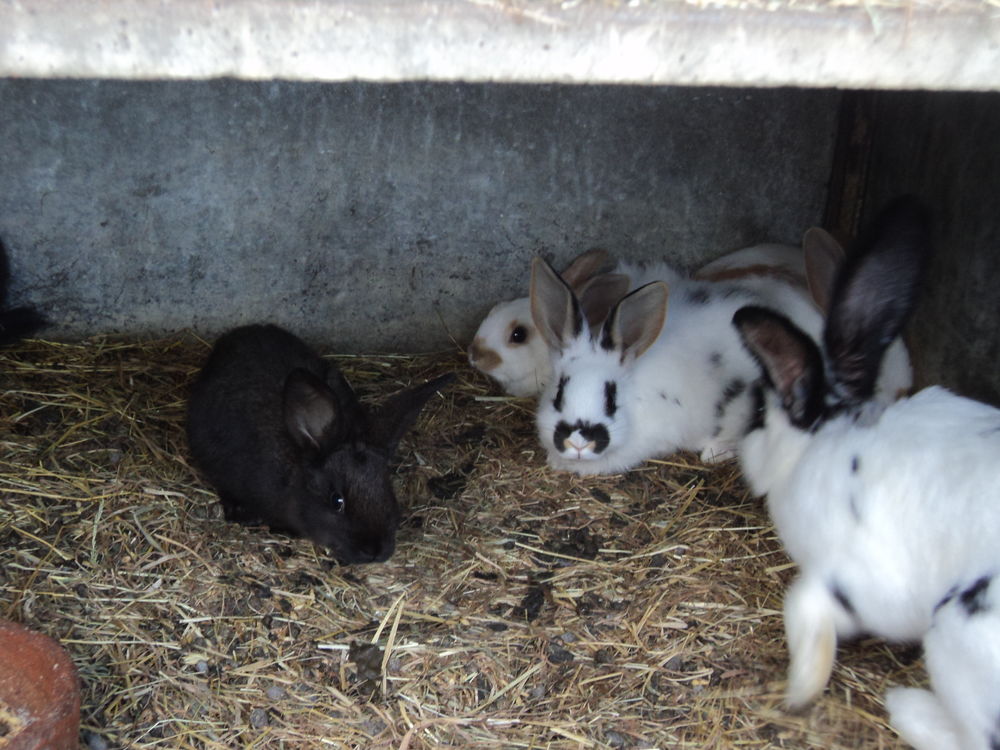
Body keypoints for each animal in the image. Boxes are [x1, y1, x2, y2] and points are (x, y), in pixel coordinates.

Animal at [732, 196, 1000, 749]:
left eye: (760, 413)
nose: (740, 448)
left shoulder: (859, 583)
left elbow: (803, 606)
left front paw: (798, 692)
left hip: (954, 629)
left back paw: (905, 705)